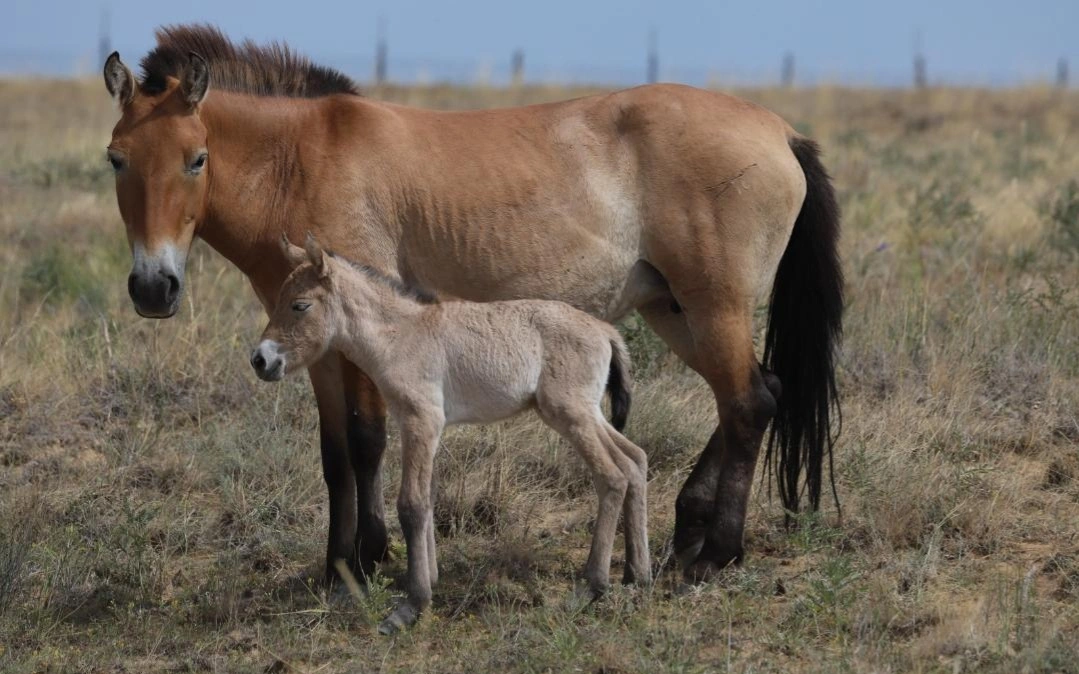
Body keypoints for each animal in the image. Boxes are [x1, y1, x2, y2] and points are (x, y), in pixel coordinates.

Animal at [103, 24, 841, 585]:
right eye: (116, 159)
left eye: (197, 158)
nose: (153, 288)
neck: (300, 160)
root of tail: (780, 133)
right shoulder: (315, 349)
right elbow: (334, 453)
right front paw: (335, 565)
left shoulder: (368, 337)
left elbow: (367, 441)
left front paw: (368, 559)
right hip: (675, 310)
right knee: (759, 392)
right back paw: (689, 526)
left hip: (711, 305)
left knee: (749, 403)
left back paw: (716, 552)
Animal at [251, 234, 649, 633]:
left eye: (300, 305)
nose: (260, 360)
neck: (399, 336)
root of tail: (605, 330)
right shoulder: (421, 425)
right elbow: (427, 498)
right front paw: (430, 580)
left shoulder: (421, 420)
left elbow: (411, 504)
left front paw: (411, 606)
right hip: (587, 413)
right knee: (635, 460)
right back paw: (637, 574)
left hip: (571, 414)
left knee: (612, 476)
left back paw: (592, 586)